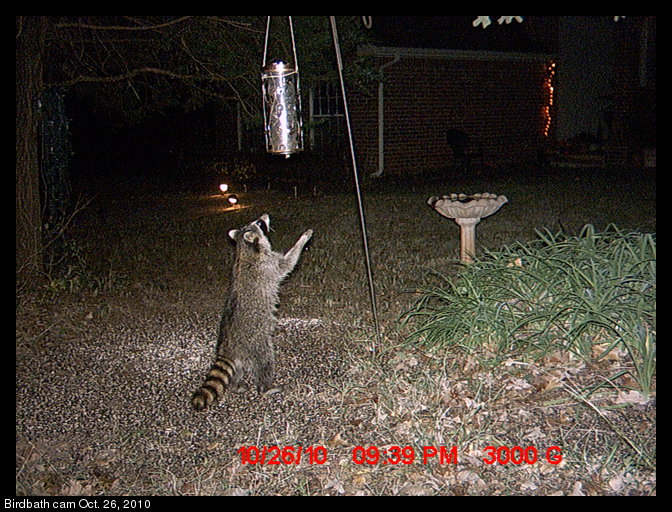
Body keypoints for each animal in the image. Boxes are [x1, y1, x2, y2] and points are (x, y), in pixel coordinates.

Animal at [191, 214, 313, 411]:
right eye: (260, 224)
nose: (265, 215)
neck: (244, 248)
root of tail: (227, 346)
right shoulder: (269, 263)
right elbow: (287, 263)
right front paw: (302, 239)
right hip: (257, 344)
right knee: (266, 362)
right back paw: (265, 388)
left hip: (240, 356)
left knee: (236, 371)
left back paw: (234, 386)